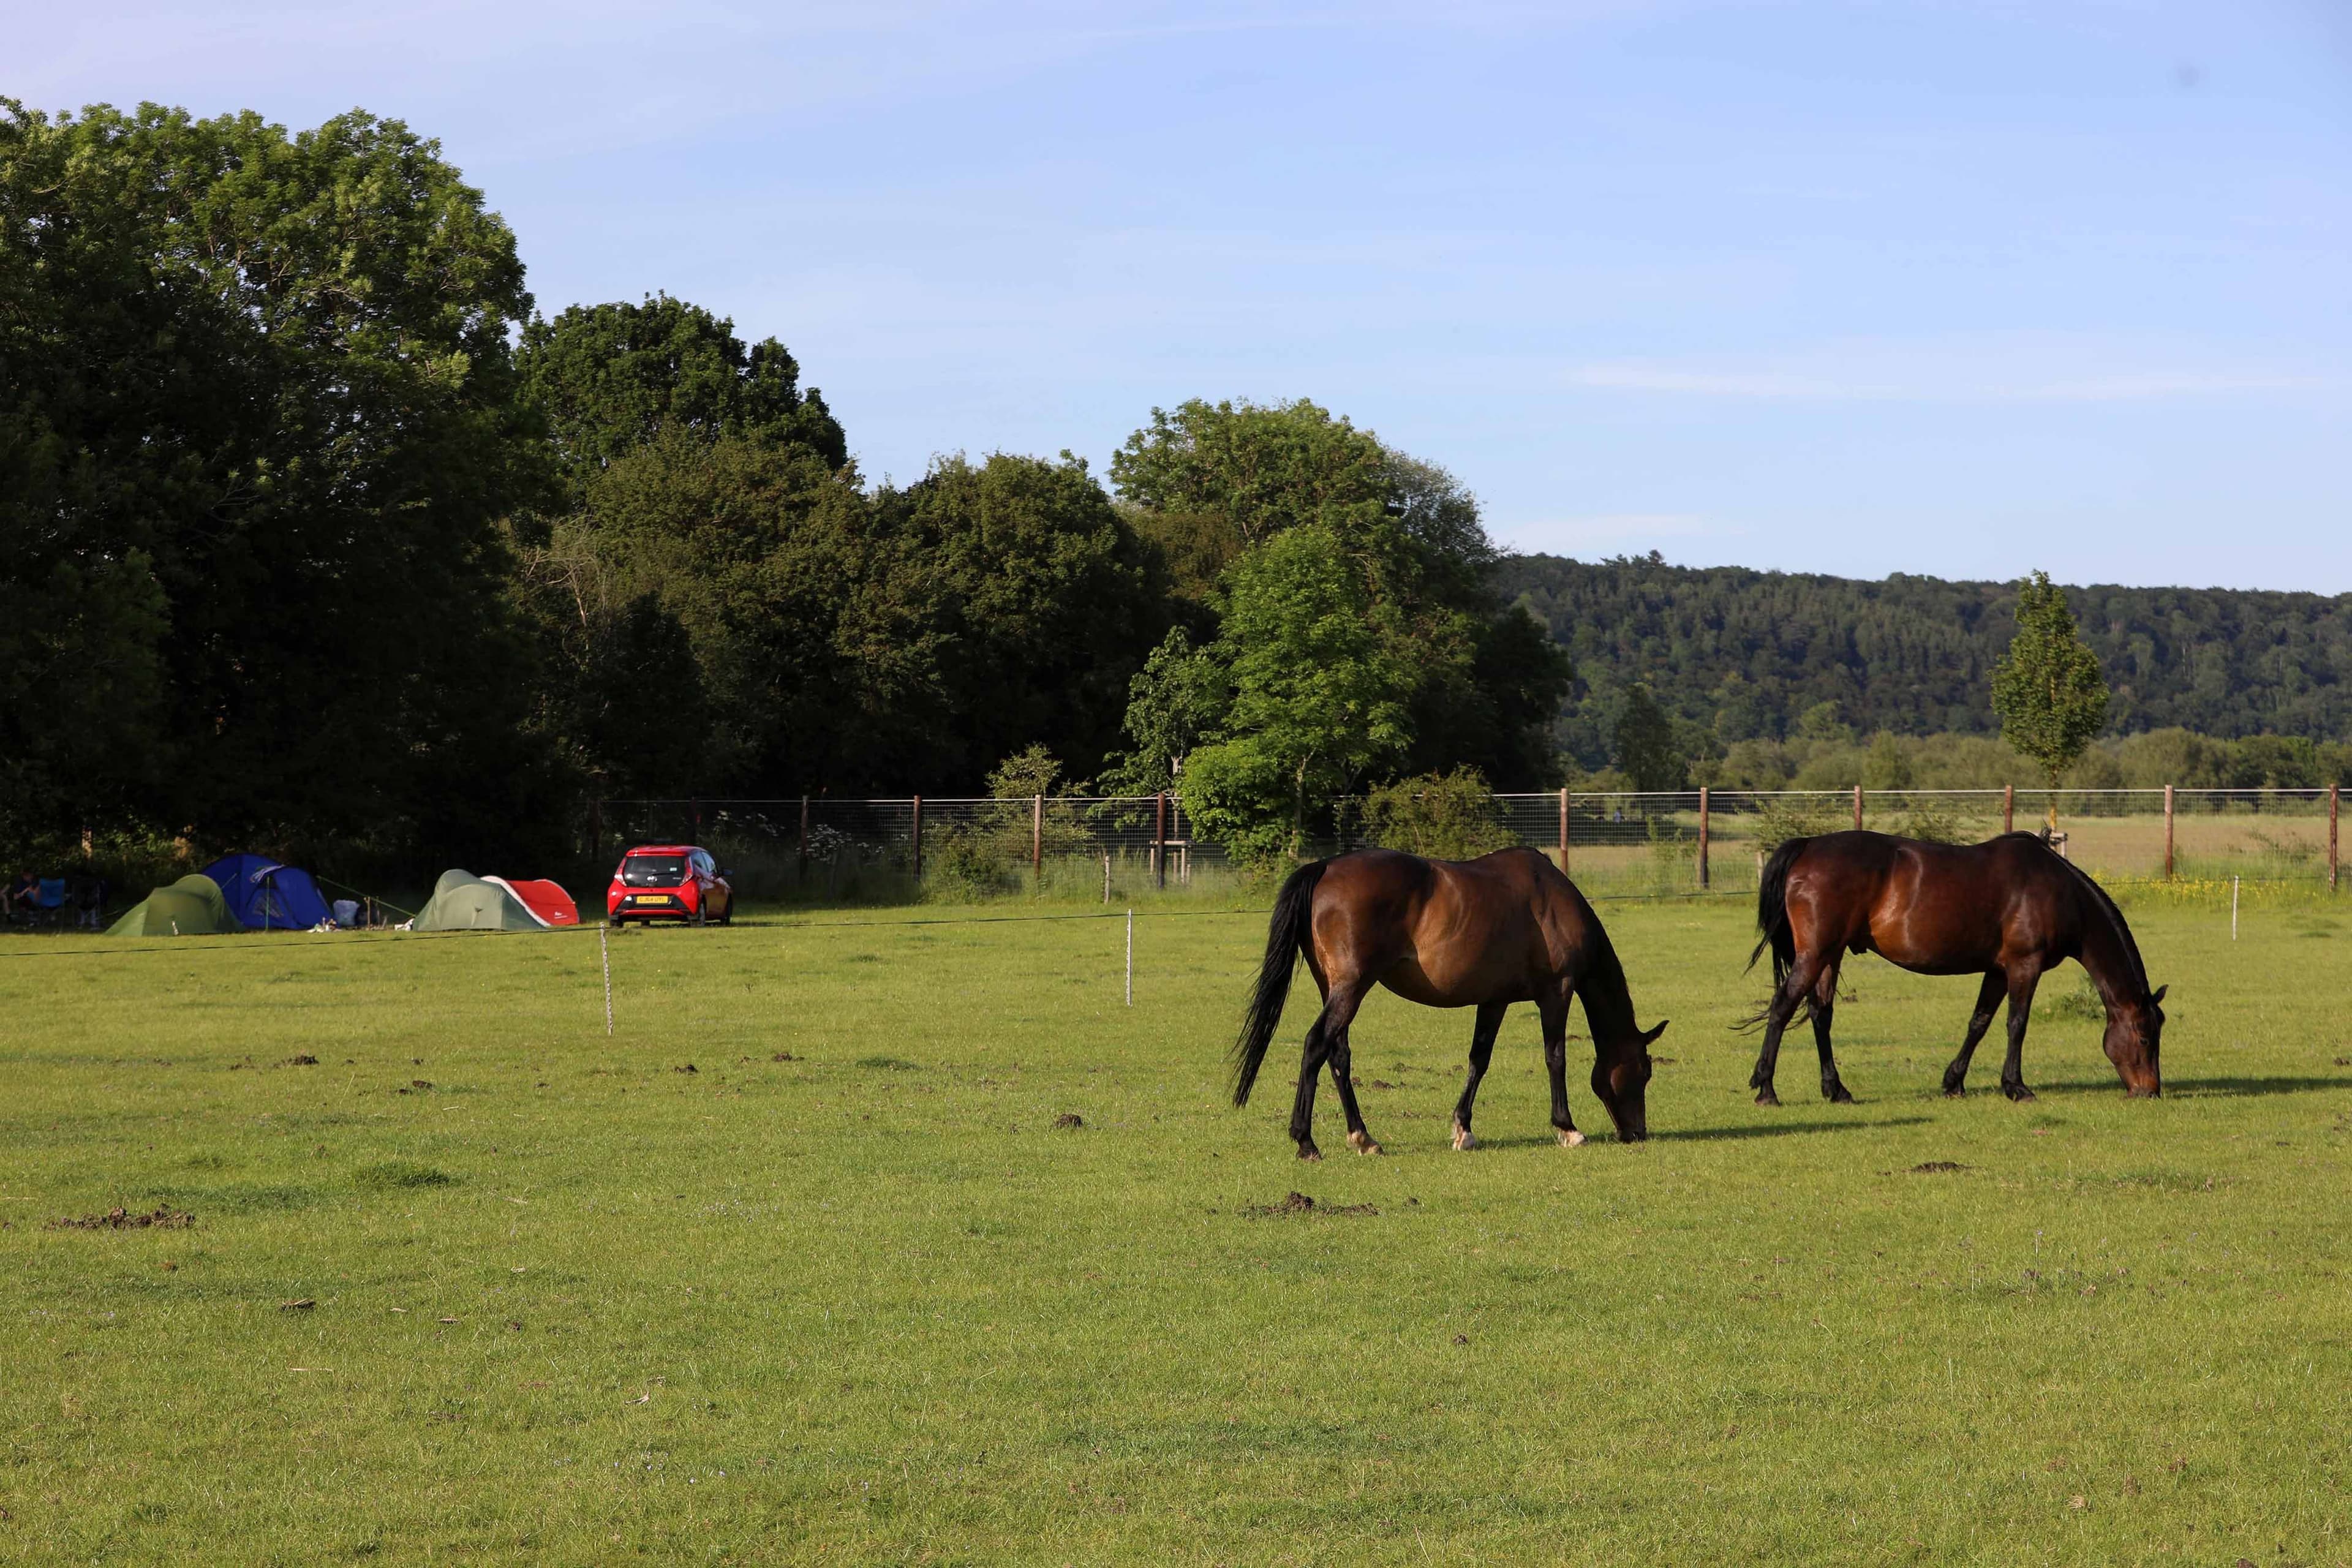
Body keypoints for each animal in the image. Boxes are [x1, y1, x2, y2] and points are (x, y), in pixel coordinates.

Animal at [1232, 847, 1668, 1160]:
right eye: (1645, 1071)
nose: (1637, 1133)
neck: (1551, 900)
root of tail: (1325, 867)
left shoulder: (1495, 1000)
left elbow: (1479, 1060)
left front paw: (1464, 1130)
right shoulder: (1557, 992)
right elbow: (1555, 1056)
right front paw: (1568, 1128)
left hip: (1336, 989)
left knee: (1338, 1055)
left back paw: (1364, 1138)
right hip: (1351, 988)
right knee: (1315, 1045)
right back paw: (1306, 1142)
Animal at [1745, 830, 2166, 1105]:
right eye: (2145, 1038)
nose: (2150, 1090)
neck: (2058, 891)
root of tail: (1808, 846)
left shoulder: (1998, 970)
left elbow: (1979, 1023)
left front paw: (1954, 1083)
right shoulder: (2024, 967)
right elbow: (2017, 1024)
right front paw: (2017, 1087)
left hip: (1829, 956)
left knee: (1821, 1014)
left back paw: (1837, 1090)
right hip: (1815, 954)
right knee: (1782, 1008)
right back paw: (1767, 1089)